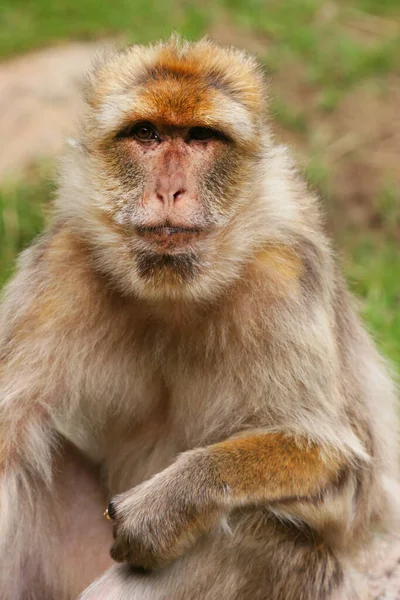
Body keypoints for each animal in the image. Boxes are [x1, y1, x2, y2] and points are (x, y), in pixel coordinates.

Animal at [0, 37, 398, 600]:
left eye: (200, 138)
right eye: (146, 134)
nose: (170, 191)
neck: (174, 293)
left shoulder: (285, 275)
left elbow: (344, 471)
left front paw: (173, 502)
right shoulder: (58, 272)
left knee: (265, 534)